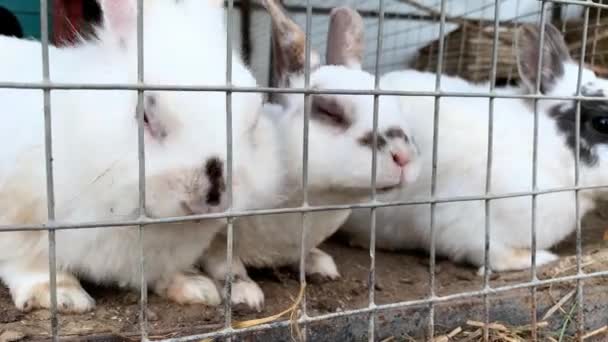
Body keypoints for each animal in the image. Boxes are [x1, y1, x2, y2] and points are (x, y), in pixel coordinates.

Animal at [0, 0, 284, 312]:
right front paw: (62, 296)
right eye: (145, 116)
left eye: (254, 120)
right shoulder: (16, 212)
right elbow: (30, 261)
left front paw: (195, 287)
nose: (212, 195)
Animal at [202, 2, 420, 312]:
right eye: (329, 110)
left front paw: (320, 265)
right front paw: (246, 295)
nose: (403, 156)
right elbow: (226, 264)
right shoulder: (218, 235)